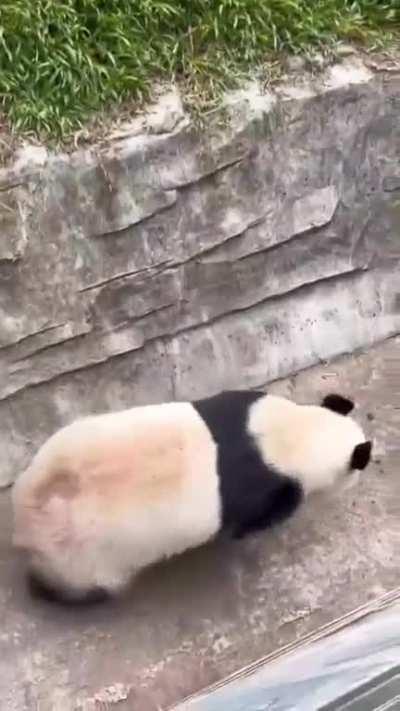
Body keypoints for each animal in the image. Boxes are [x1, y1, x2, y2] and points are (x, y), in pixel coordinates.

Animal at [12, 390, 372, 605]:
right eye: (358, 469)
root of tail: (26, 516)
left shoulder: (243, 408)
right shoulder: (271, 491)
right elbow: (251, 524)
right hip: (86, 554)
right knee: (86, 583)